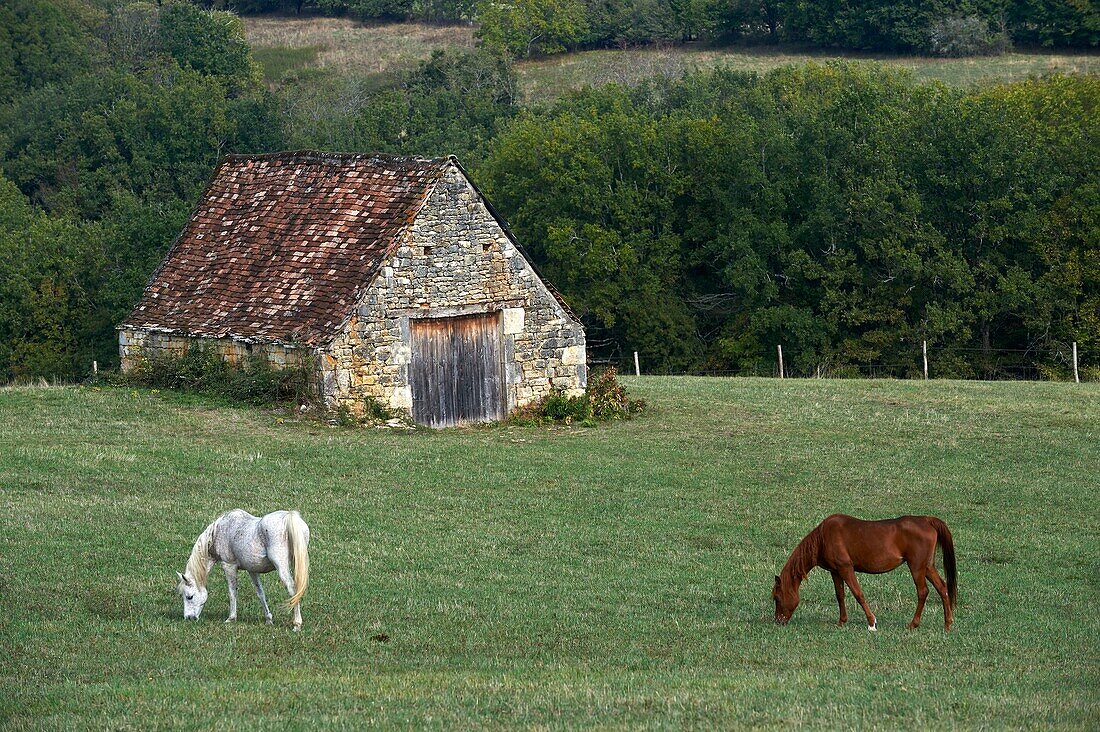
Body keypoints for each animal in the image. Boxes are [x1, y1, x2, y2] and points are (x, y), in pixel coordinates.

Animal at [174, 508, 310, 629]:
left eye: (189, 596)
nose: (188, 618)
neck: (220, 531)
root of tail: (288, 517)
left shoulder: (228, 566)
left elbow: (232, 592)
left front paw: (231, 618)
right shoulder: (252, 570)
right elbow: (260, 593)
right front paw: (268, 620)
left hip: (281, 567)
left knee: (292, 590)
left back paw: (297, 624)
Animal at [774, 512, 954, 629]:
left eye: (776, 598)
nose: (778, 621)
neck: (823, 538)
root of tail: (927, 520)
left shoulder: (846, 568)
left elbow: (858, 594)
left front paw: (871, 623)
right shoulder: (835, 571)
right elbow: (840, 595)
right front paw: (842, 621)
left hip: (916, 567)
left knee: (923, 592)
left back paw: (913, 624)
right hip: (927, 567)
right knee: (942, 588)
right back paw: (948, 623)